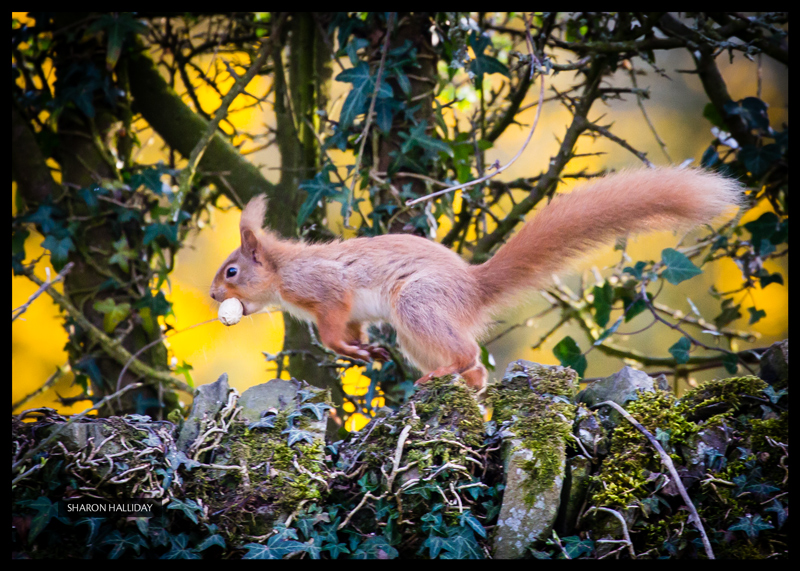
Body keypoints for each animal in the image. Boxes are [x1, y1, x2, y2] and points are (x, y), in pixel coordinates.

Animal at [209, 165, 740, 388]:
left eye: (232, 270)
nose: (214, 295)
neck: (283, 271)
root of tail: (474, 288)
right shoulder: (351, 312)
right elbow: (354, 331)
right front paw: (364, 352)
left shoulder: (327, 292)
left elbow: (332, 330)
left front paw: (346, 350)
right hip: (415, 331)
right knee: (476, 366)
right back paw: (470, 389)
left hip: (418, 305)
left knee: (465, 353)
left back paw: (447, 375)